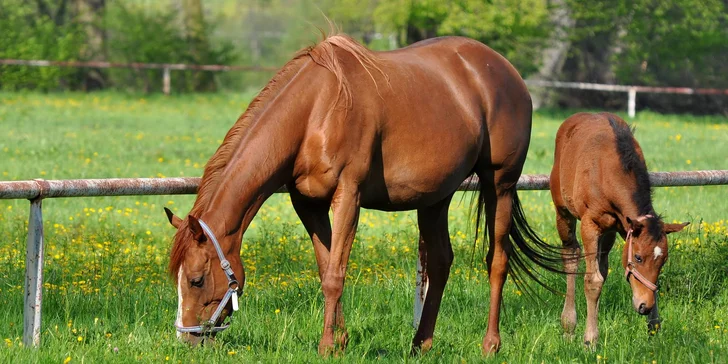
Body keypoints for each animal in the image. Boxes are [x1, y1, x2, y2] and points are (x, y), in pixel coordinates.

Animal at [166, 33, 564, 356]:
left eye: (196, 279)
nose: (186, 338)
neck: (317, 110)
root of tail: (505, 70)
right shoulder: (308, 205)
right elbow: (327, 267)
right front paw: (340, 341)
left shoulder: (348, 196)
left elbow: (335, 274)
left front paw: (327, 345)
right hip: (435, 198)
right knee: (440, 261)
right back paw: (421, 344)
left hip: (500, 184)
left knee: (497, 260)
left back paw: (490, 344)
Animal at [552, 112, 688, 348]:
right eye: (638, 257)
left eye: (663, 261)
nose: (645, 306)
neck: (609, 170)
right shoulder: (590, 224)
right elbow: (592, 280)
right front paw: (590, 340)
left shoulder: (623, 226)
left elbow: (601, 275)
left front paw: (654, 327)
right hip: (563, 211)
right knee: (570, 256)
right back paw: (569, 326)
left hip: (608, 233)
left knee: (601, 266)